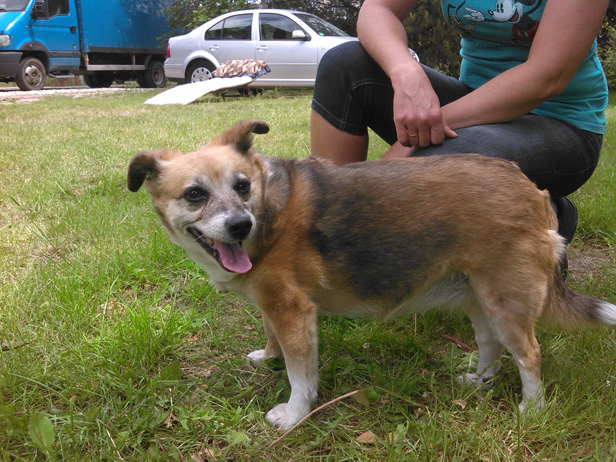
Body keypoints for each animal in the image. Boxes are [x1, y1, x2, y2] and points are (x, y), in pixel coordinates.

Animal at [129, 119, 616, 430]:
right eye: (194, 194)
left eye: (242, 186)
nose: (239, 226)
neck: (269, 211)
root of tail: (533, 189)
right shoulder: (273, 306)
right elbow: (271, 337)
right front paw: (268, 356)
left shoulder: (293, 311)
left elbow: (301, 374)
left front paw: (294, 414)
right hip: (477, 297)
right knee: (491, 345)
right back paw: (479, 383)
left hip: (506, 299)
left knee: (529, 354)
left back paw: (532, 410)